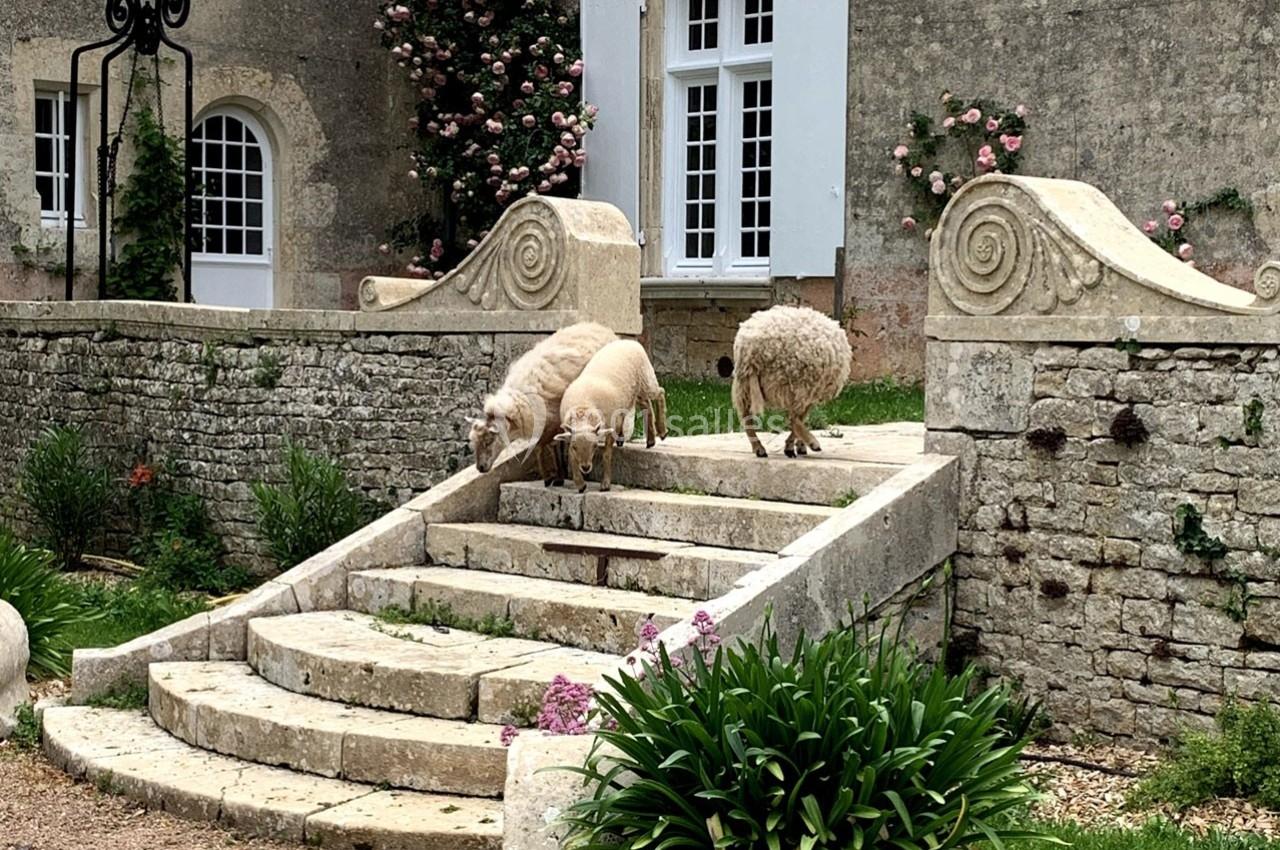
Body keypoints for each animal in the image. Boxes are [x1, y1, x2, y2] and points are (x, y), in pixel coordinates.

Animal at [469, 321, 617, 483]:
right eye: (474, 443)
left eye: (489, 441)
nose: (480, 468)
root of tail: (598, 326)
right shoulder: (543, 424)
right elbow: (541, 448)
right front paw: (548, 477)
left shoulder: (554, 419)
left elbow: (555, 444)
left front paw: (560, 476)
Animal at [556, 339, 667, 492]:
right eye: (574, 447)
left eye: (595, 446)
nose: (586, 467)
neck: (583, 406)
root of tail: (628, 341)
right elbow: (572, 458)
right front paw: (580, 484)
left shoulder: (609, 427)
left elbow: (607, 455)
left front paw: (606, 484)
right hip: (634, 392)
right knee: (646, 405)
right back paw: (650, 439)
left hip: (646, 378)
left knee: (660, 393)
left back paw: (662, 431)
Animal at [731, 305, 852, 459]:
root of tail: (754, 350)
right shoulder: (811, 391)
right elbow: (801, 417)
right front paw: (798, 445)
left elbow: (802, 416)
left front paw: (799, 446)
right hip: (794, 381)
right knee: (792, 418)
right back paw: (811, 443)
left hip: (745, 382)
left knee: (745, 416)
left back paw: (759, 448)